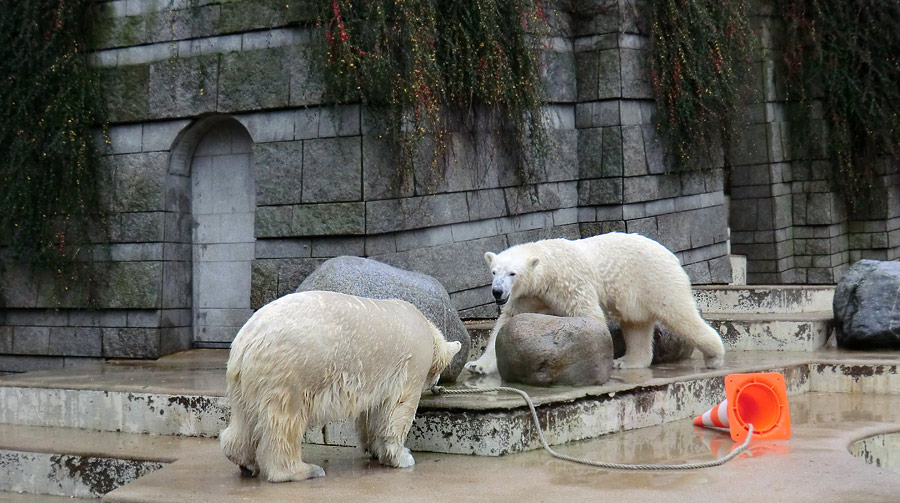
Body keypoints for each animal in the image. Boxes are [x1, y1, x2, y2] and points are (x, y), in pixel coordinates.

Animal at [216, 292, 458, 484]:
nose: (437, 383)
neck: (428, 330)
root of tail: (247, 339)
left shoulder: (379, 378)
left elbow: (372, 412)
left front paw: (375, 449)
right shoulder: (412, 362)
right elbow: (399, 409)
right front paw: (402, 457)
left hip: (244, 377)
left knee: (244, 417)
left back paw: (245, 462)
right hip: (289, 369)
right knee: (285, 421)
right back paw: (304, 471)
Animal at [464, 232, 724, 374]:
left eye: (512, 273)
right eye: (494, 271)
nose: (497, 292)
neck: (549, 266)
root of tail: (671, 255)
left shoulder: (570, 283)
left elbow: (588, 314)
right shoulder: (528, 297)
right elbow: (504, 323)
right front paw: (477, 365)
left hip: (655, 280)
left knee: (680, 314)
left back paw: (714, 356)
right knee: (636, 326)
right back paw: (626, 362)